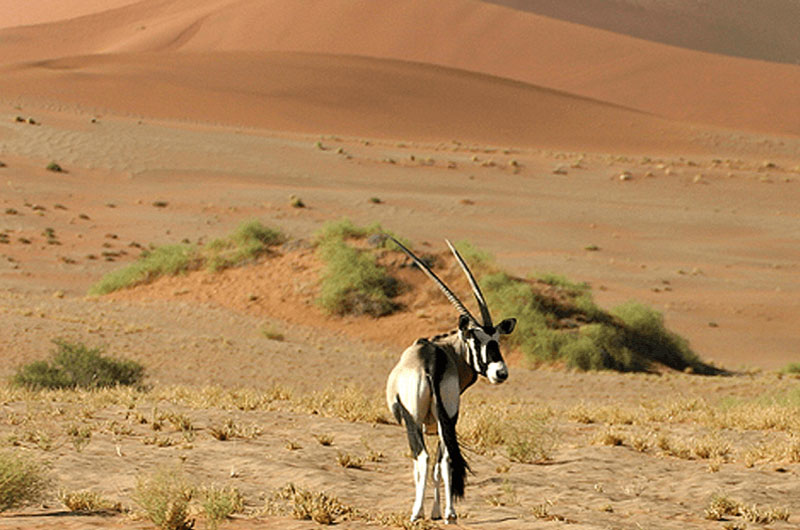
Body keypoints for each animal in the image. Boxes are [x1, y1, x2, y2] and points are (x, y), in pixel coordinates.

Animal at [388, 237, 520, 520]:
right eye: (477, 339)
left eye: (497, 339)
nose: (500, 372)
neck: (445, 350)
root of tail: (431, 361)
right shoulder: (443, 418)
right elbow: (442, 463)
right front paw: (439, 512)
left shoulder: (418, 420)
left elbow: (420, 465)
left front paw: (426, 510)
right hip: (447, 415)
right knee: (445, 459)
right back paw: (449, 513)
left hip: (414, 417)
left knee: (423, 458)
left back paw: (417, 513)